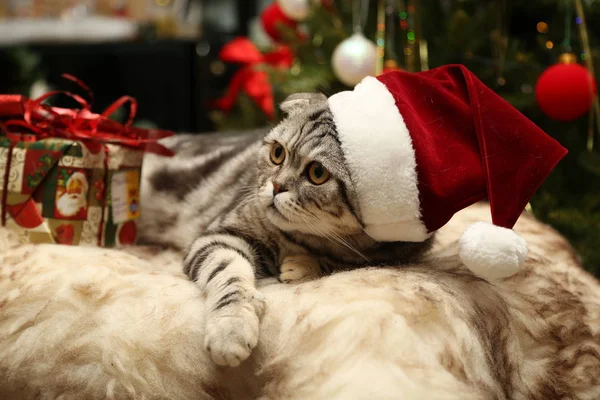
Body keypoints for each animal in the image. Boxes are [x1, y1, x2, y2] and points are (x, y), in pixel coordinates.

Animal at [138, 92, 434, 368]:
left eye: (318, 173)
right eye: (277, 153)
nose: (276, 186)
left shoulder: (393, 252)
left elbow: (338, 261)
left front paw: (301, 266)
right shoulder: (219, 235)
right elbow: (229, 275)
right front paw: (231, 328)